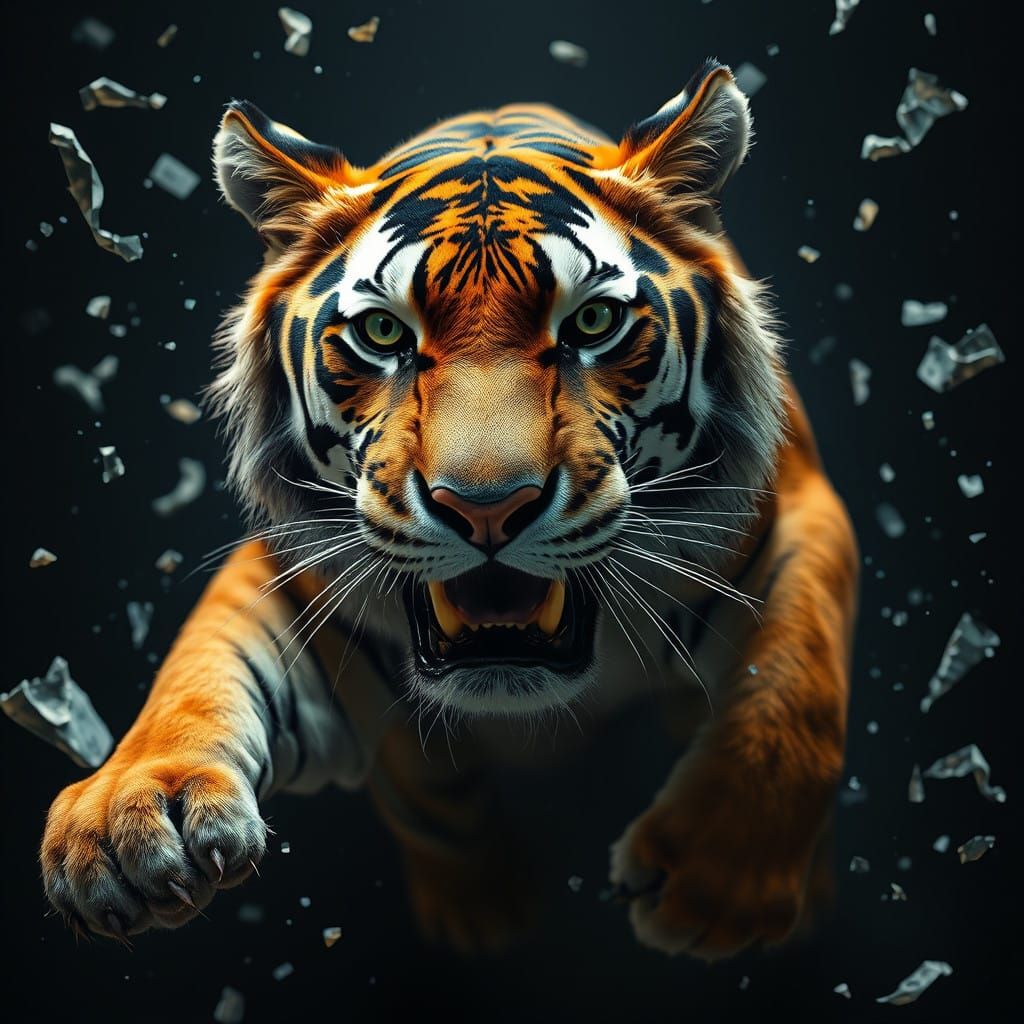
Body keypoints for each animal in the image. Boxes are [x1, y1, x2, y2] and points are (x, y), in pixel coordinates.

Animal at [40, 59, 858, 959]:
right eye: (382, 334)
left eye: (594, 321)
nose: (489, 507)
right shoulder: (295, 575)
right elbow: (198, 671)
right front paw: (123, 824)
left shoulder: (795, 512)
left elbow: (794, 680)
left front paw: (714, 880)